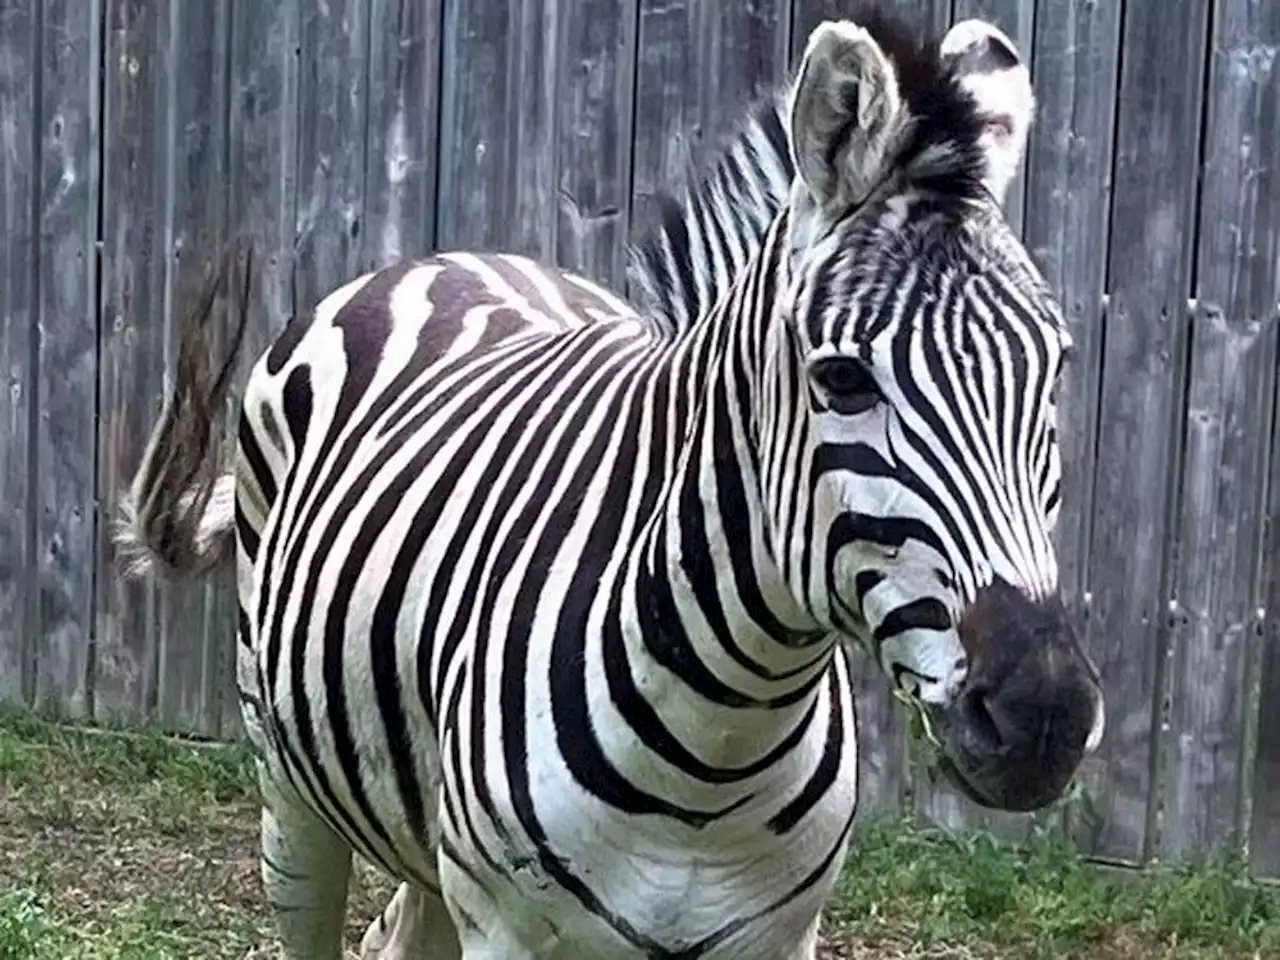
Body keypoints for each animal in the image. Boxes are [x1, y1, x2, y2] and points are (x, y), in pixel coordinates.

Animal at [115, 9, 1105, 960]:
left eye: (1055, 370)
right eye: (842, 379)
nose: (1046, 717)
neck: (720, 745)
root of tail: (443, 259)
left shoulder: (779, 936)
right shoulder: (505, 928)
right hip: (290, 787)